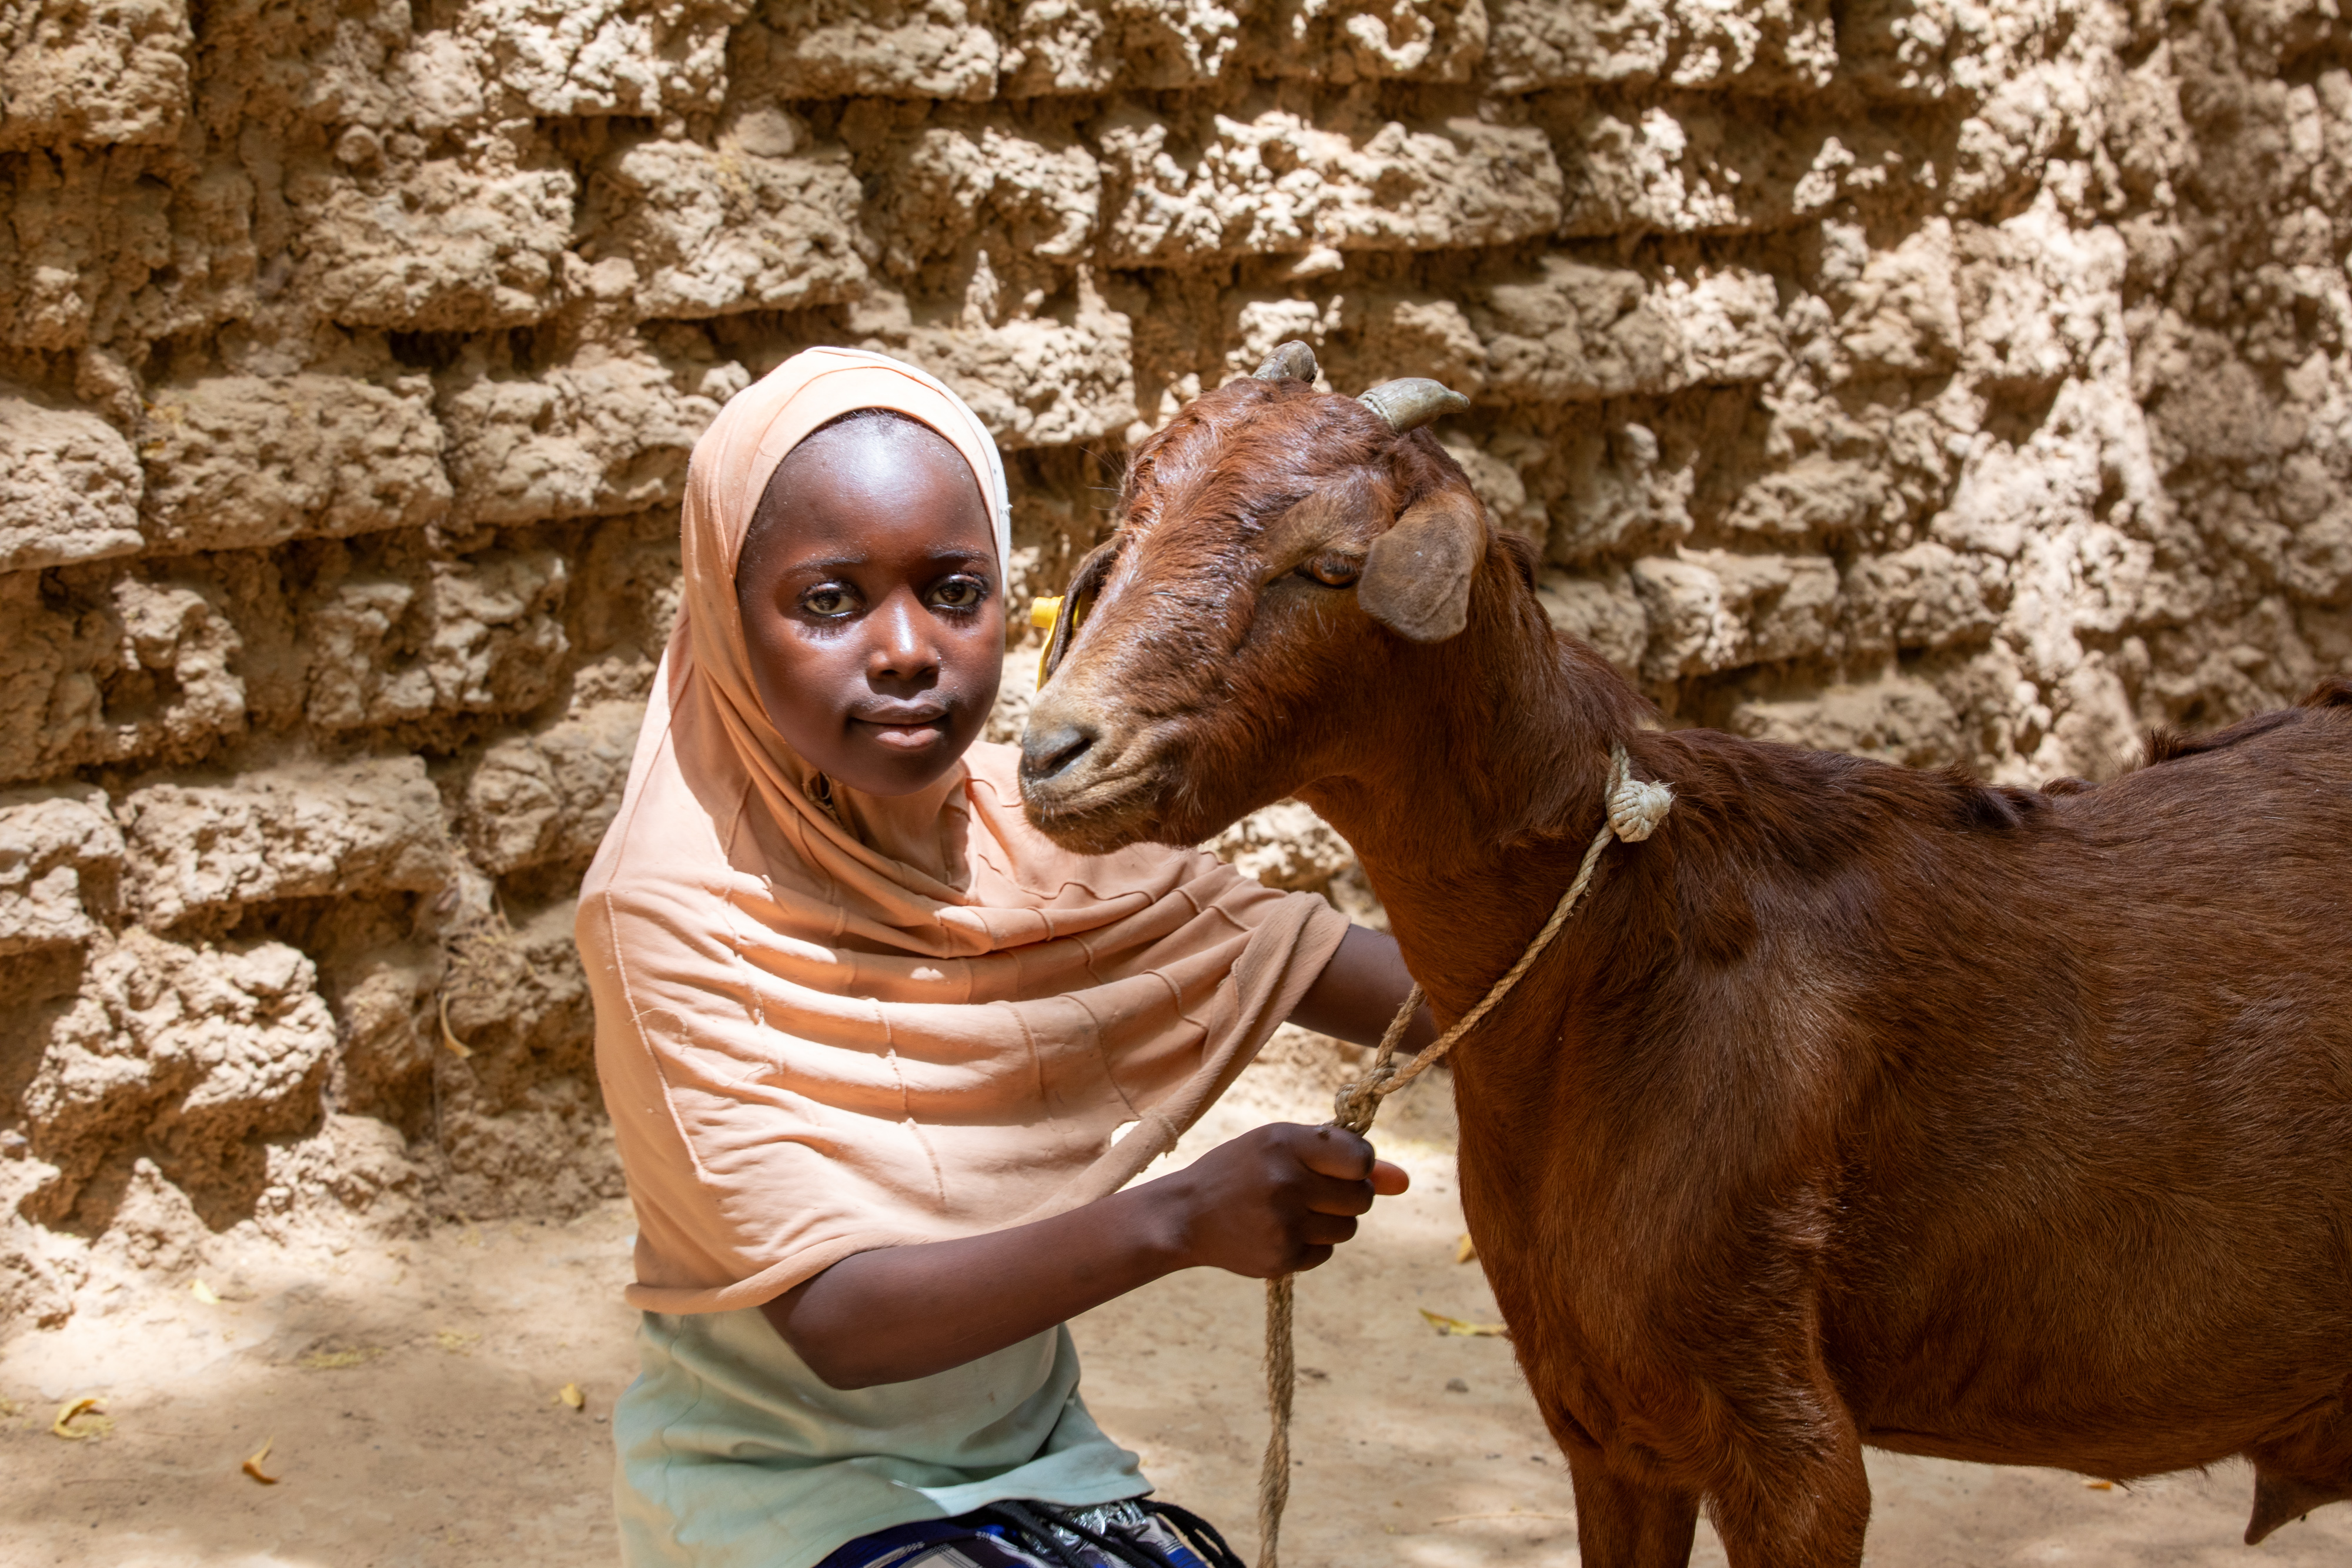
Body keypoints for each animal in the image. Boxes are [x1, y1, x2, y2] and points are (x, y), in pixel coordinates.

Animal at [1017, 343, 2352, 1567]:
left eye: (1330, 566)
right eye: (1125, 535)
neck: (1618, 951)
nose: (1052, 752)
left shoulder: (1789, 1441)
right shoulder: (1603, 1419)